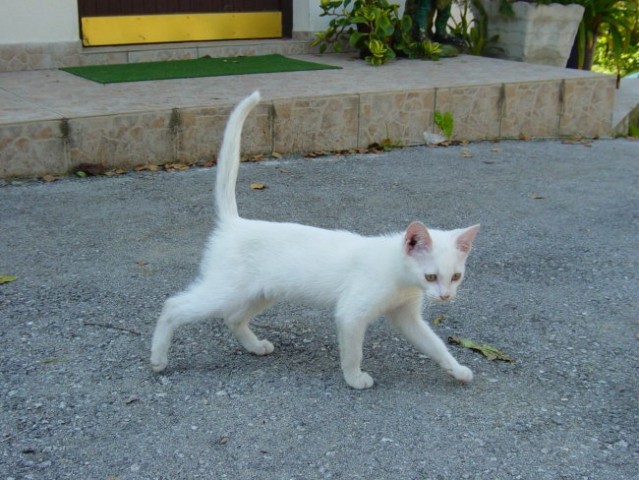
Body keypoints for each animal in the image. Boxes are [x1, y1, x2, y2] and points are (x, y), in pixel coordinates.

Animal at [151, 91, 480, 390]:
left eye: (456, 277)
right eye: (431, 276)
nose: (445, 297)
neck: (398, 276)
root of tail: (235, 223)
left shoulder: (407, 317)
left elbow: (435, 345)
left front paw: (458, 369)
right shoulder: (351, 313)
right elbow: (353, 352)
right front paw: (354, 378)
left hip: (261, 292)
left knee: (232, 318)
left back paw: (256, 346)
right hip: (226, 290)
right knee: (173, 306)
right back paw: (158, 358)